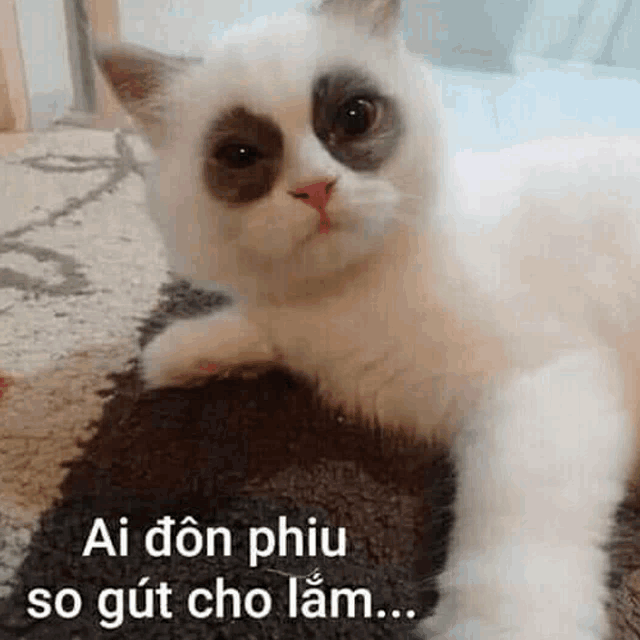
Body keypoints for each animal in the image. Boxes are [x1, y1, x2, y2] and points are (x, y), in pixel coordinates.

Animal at [96, 2, 640, 636]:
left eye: (354, 118)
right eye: (240, 155)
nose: (315, 189)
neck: (354, 291)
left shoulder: (547, 387)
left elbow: (511, 537)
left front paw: (502, 624)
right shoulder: (299, 327)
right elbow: (262, 325)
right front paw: (181, 352)